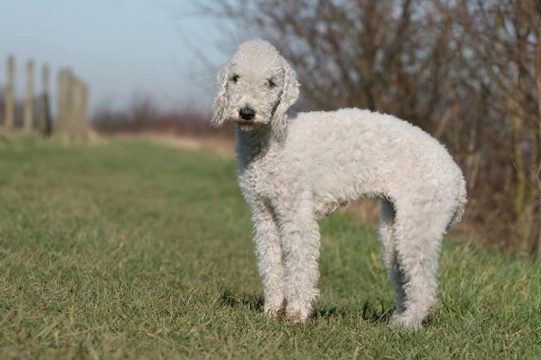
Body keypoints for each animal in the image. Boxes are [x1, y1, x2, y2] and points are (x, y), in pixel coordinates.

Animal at [211, 38, 464, 330]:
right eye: (235, 78)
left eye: (271, 83)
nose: (246, 113)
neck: (273, 137)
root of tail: (457, 176)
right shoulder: (265, 215)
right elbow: (271, 263)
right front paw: (272, 311)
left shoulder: (296, 214)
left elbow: (300, 264)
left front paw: (297, 314)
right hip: (395, 228)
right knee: (405, 278)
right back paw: (399, 319)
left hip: (420, 225)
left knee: (424, 286)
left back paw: (406, 326)